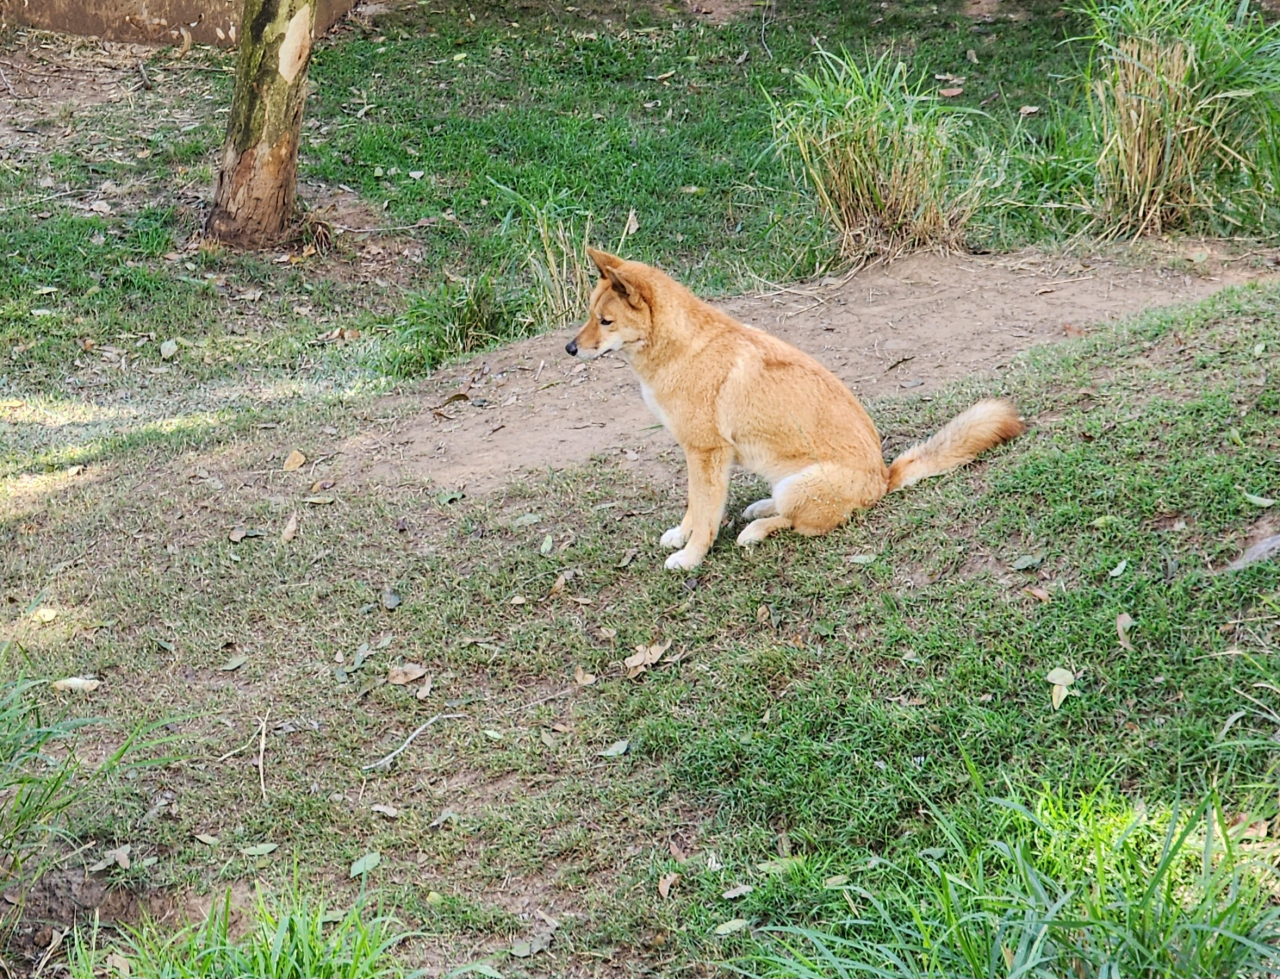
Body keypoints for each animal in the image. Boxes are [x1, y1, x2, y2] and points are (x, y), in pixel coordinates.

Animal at [565, 252, 1024, 568]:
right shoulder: (699, 456)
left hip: (800, 485)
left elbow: (706, 513)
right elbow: (695, 507)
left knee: (796, 523)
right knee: (784, 509)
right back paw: (758, 508)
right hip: (784, 479)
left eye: (605, 321)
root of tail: (884, 477)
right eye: (590, 314)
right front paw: (681, 536)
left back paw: (755, 529)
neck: (682, 348)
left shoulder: (706, 454)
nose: (570, 348)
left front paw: (691, 556)